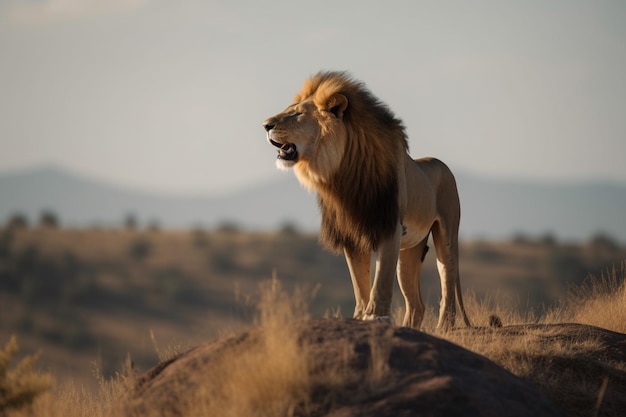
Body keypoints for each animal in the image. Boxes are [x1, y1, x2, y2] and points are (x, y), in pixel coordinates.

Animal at [260, 72, 470, 332]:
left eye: (297, 114)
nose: (265, 125)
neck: (342, 173)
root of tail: (441, 164)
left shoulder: (388, 226)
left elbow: (380, 281)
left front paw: (375, 317)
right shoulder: (351, 233)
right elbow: (360, 283)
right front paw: (359, 317)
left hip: (447, 233)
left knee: (447, 280)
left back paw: (444, 327)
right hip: (410, 250)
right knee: (416, 304)